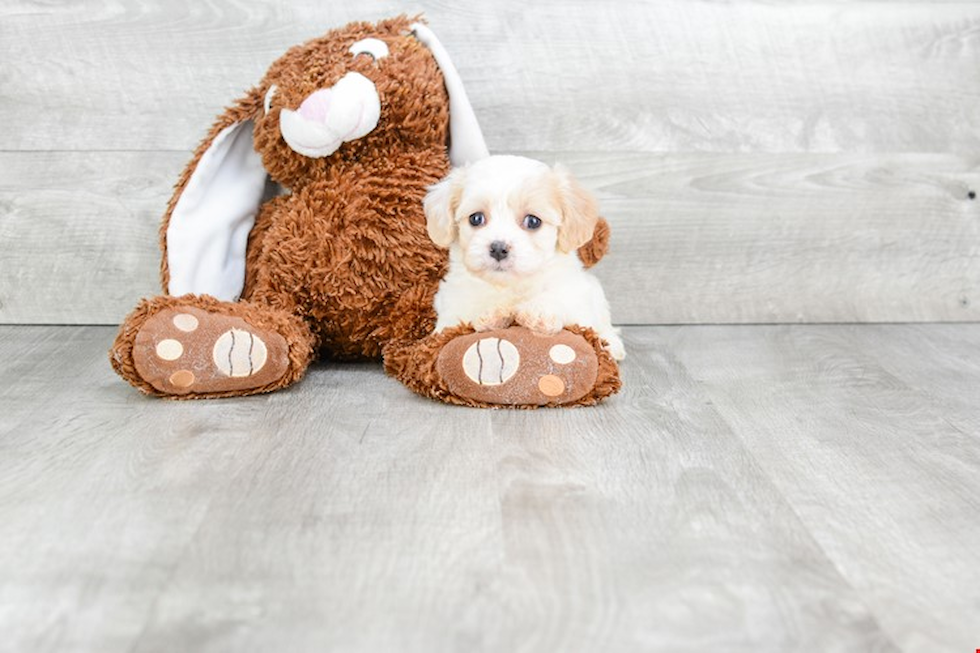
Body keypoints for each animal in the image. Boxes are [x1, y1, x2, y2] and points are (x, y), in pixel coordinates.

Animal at [424, 157, 624, 362]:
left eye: (533, 221)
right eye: (476, 218)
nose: (498, 248)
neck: (510, 286)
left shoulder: (576, 296)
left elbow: (561, 298)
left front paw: (539, 312)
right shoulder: (451, 301)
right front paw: (490, 312)